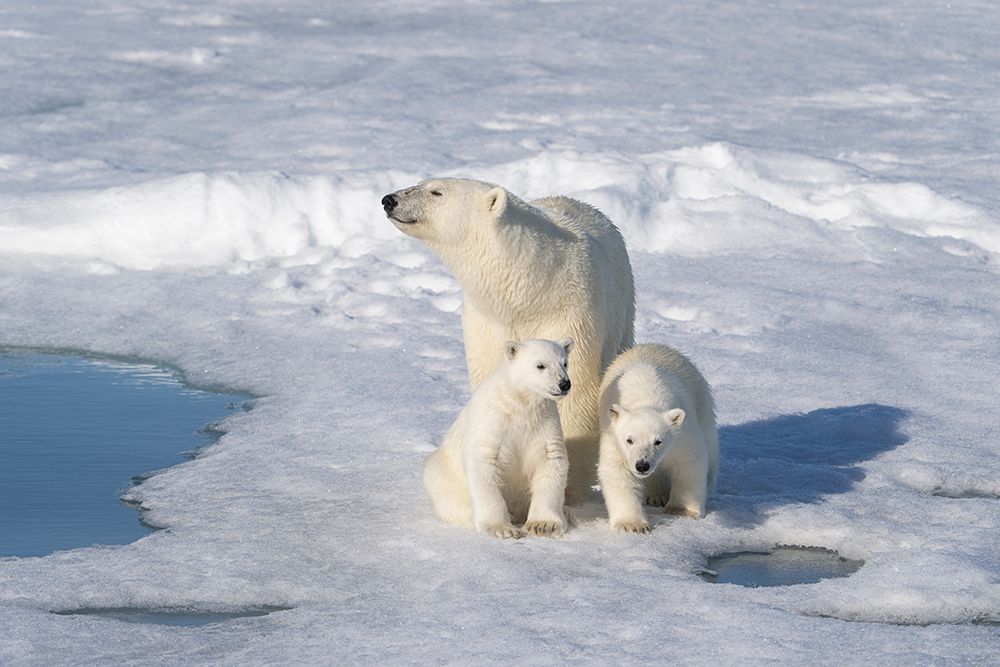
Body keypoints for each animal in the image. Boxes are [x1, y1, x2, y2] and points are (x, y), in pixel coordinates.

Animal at [382, 178, 635, 500]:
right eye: (421, 182)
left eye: (436, 191)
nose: (389, 200)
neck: (529, 289)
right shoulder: (486, 321)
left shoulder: (570, 313)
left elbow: (576, 391)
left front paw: (568, 484)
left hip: (624, 311)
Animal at [422, 338, 574, 538]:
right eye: (540, 365)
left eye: (564, 363)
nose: (564, 384)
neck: (519, 403)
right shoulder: (493, 422)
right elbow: (485, 463)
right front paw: (502, 528)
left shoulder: (545, 423)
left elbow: (551, 459)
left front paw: (543, 525)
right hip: (443, 472)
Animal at [597, 343, 718, 533]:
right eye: (629, 440)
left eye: (658, 441)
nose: (642, 465)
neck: (646, 397)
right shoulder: (613, 438)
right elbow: (618, 471)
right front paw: (632, 524)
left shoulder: (683, 433)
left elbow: (689, 462)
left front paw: (681, 510)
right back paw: (655, 496)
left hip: (703, 405)